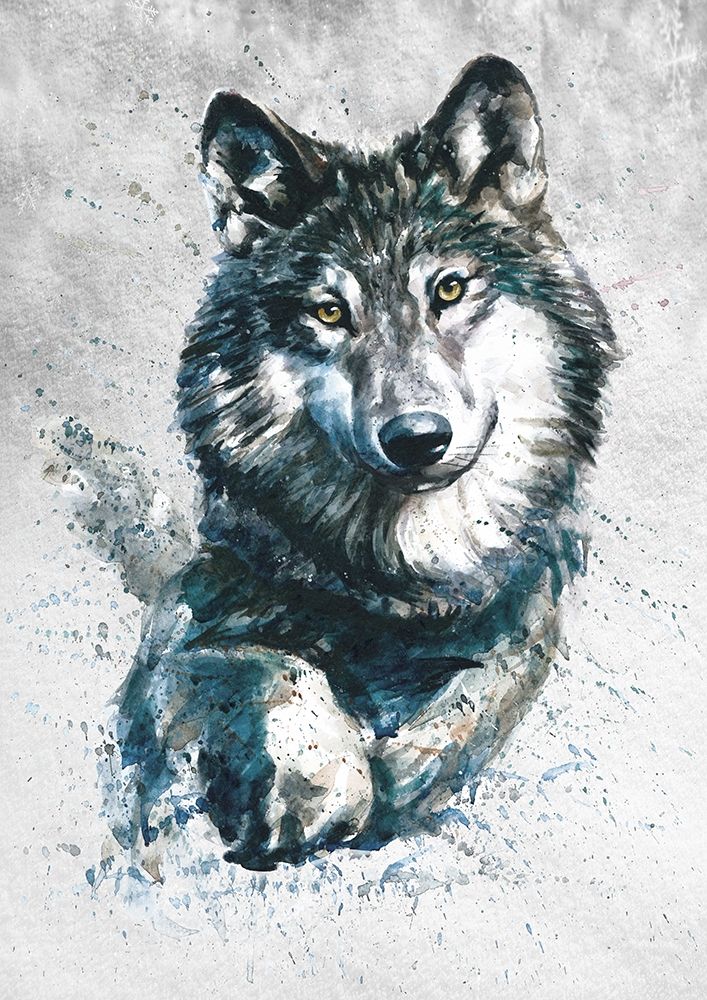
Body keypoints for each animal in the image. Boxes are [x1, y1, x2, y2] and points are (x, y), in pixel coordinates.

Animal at [105, 54, 615, 870]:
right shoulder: (188, 617)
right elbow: (277, 662)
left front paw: (405, 772)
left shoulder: (526, 611)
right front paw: (325, 786)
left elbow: (484, 692)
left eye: (449, 289)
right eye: (330, 312)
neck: (401, 582)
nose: (417, 438)